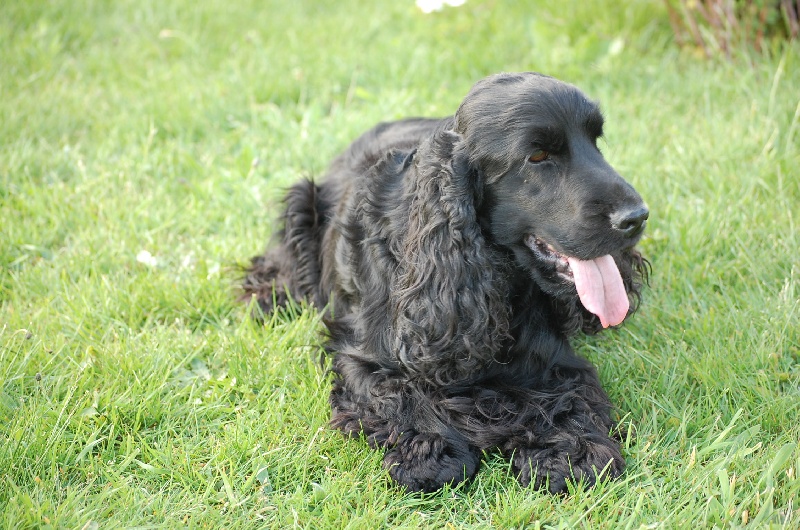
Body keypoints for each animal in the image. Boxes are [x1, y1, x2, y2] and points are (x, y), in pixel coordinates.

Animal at [244, 73, 648, 490]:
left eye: (596, 142)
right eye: (537, 157)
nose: (637, 217)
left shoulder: (554, 362)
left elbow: (569, 396)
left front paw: (573, 451)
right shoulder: (362, 357)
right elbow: (402, 395)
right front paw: (431, 452)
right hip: (301, 201)